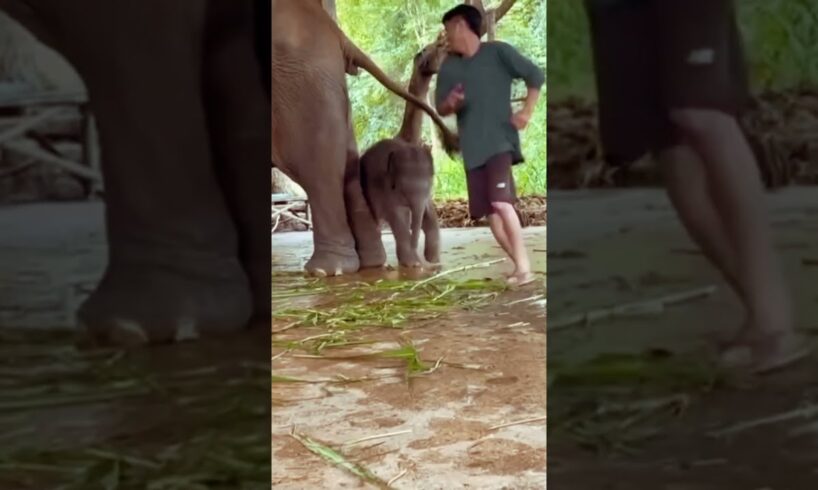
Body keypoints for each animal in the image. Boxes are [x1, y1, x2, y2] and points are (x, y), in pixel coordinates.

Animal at [271, 0, 458, 278]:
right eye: (432, 49)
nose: (446, 44)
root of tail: (335, 33)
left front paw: (426, 263)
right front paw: (419, 264)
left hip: (302, 82)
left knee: (322, 168)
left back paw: (330, 270)